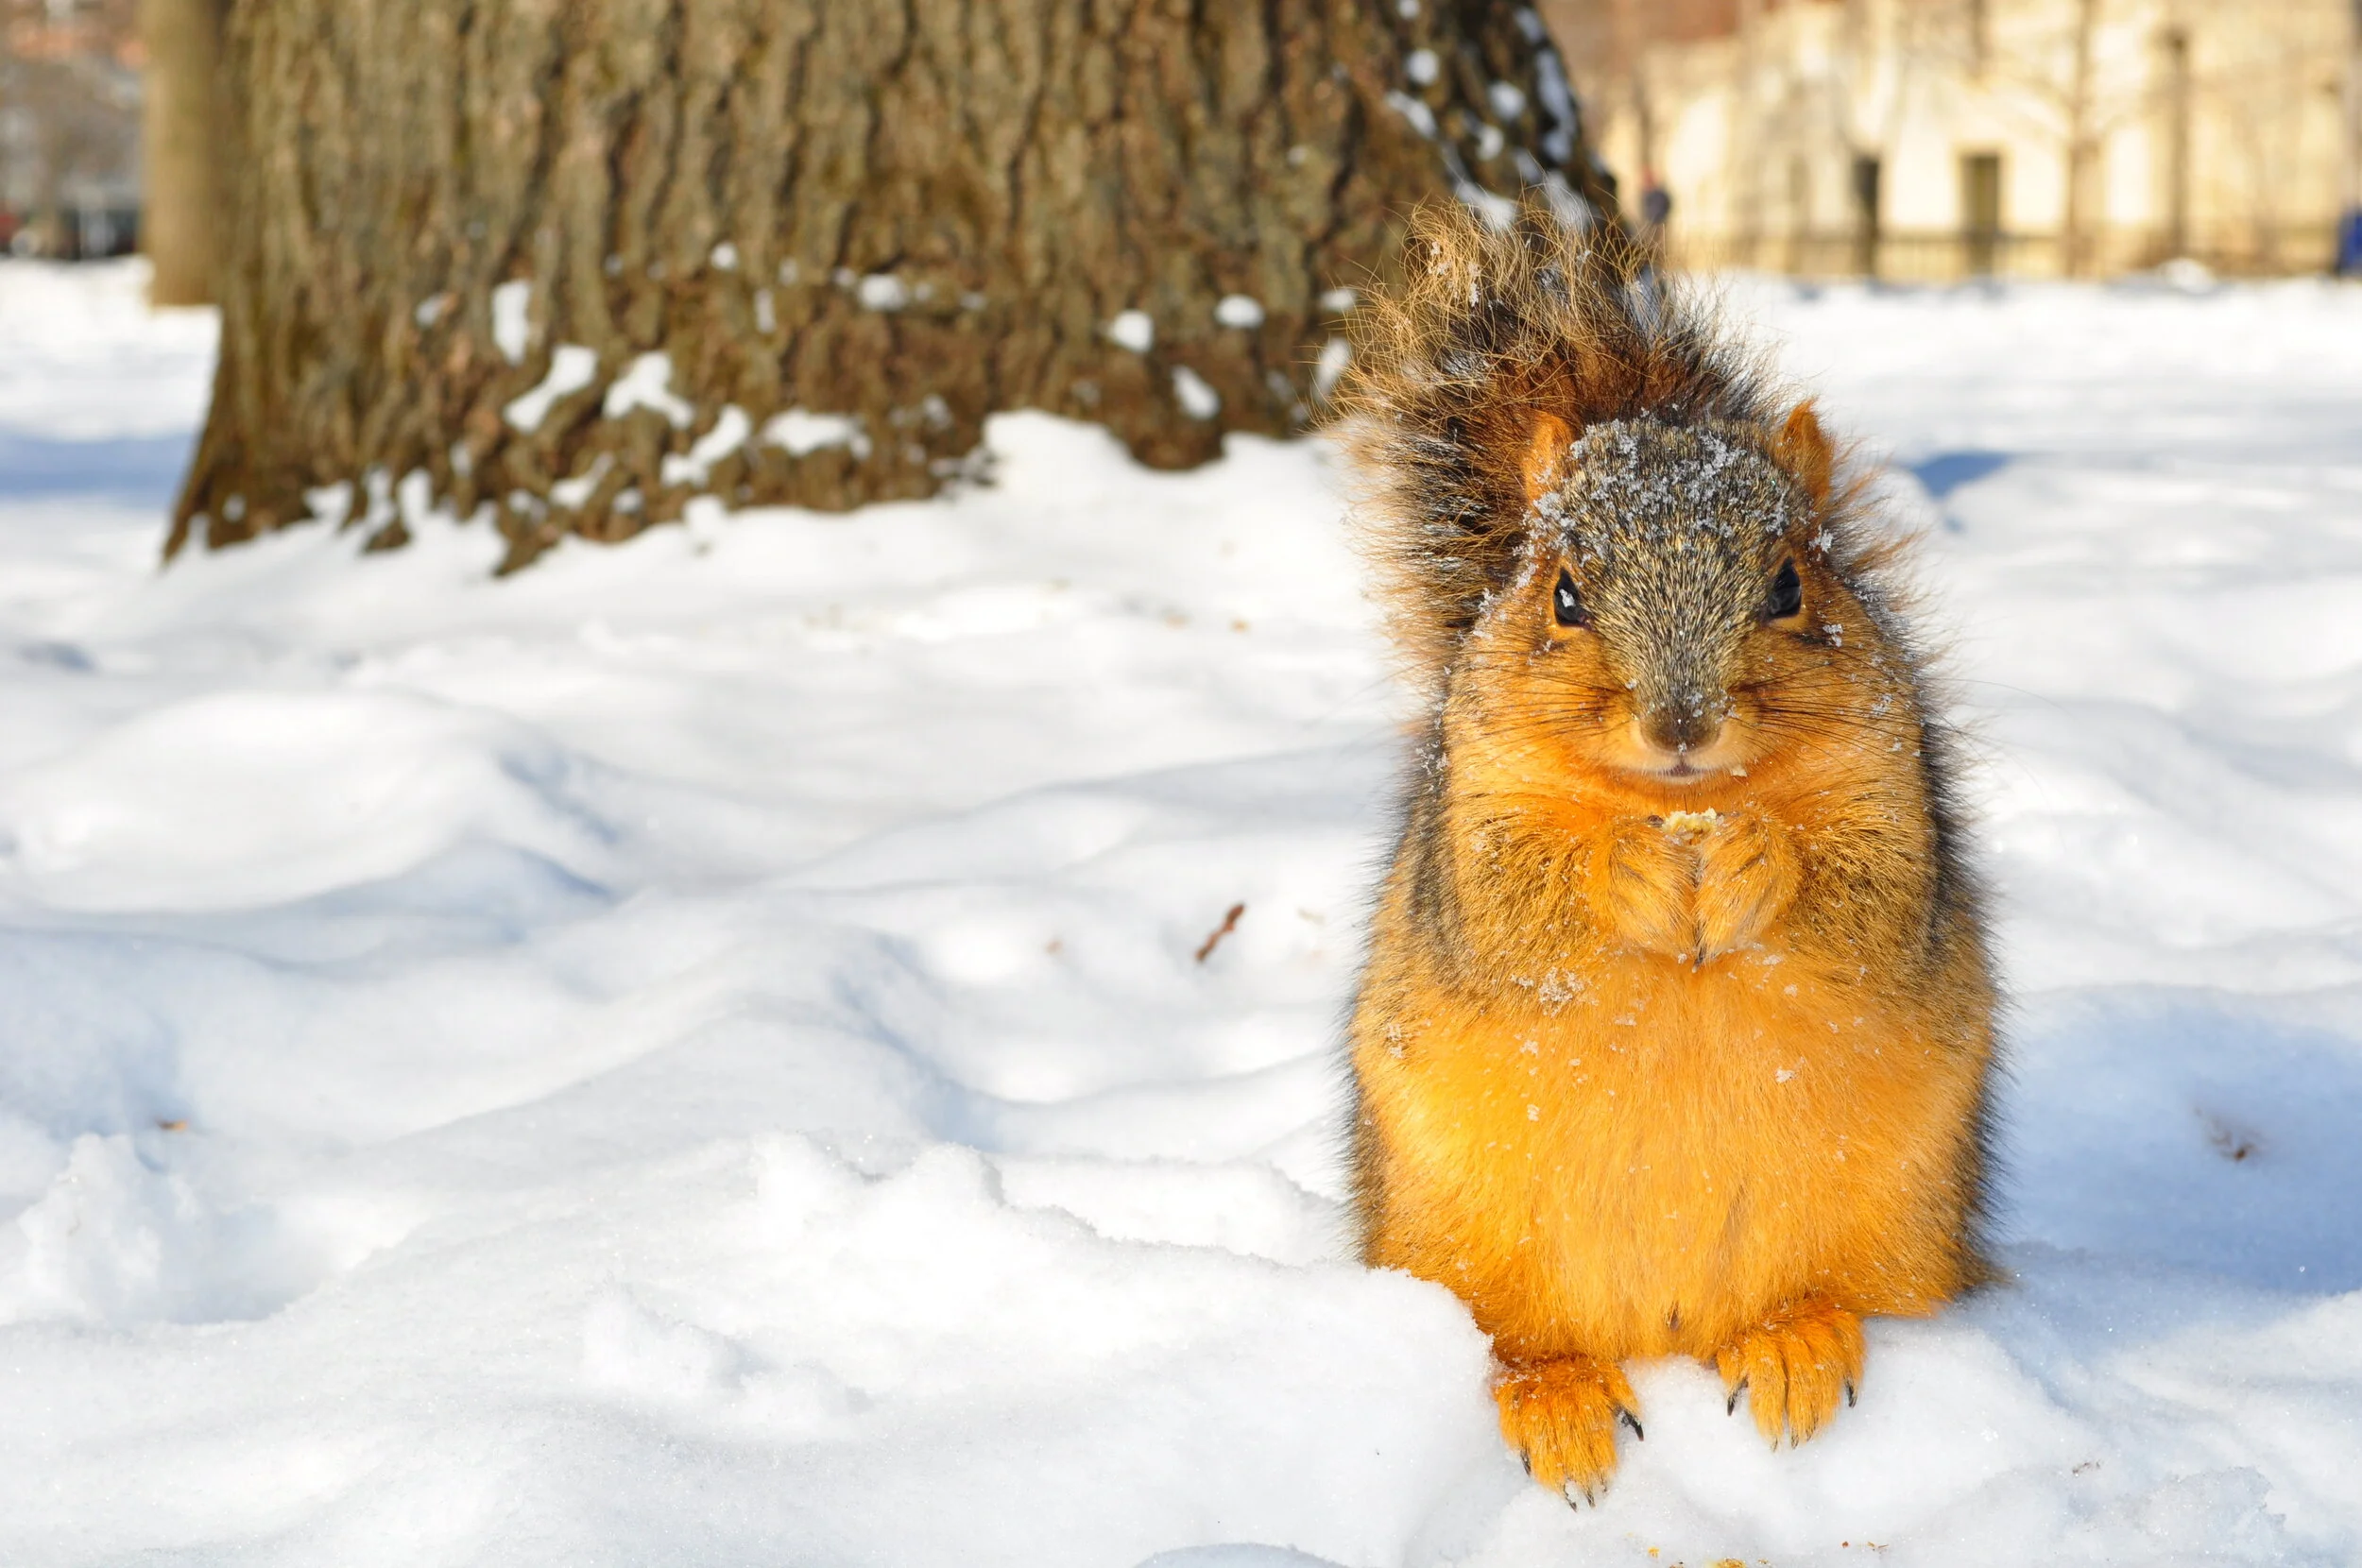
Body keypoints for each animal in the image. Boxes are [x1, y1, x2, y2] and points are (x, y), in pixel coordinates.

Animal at [1334, 204, 1999, 1503]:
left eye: (1792, 582)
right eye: (1563, 595)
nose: (1680, 723)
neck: (1682, 802)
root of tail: (1671, 1333)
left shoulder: (1895, 803)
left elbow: (1868, 897)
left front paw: (1753, 869)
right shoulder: (1469, 829)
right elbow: (1516, 908)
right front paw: (1634, 877)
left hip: (1900, 1235)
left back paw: (1794, 1342)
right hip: (1448, 1239)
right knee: (1517, 1340)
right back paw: (1556, 1398)